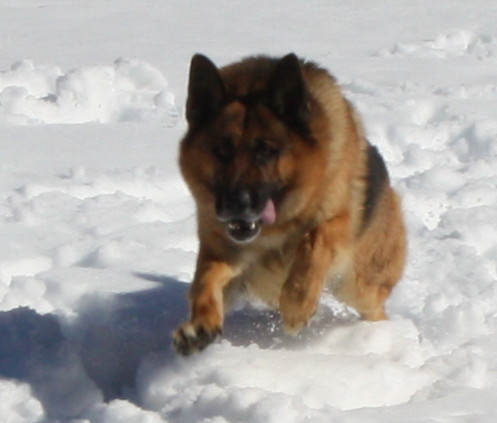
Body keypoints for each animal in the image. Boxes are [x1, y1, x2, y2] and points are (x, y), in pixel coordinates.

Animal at [173, 53, 406, 355]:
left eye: (266, 152)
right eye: (222, 151)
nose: (236, 204)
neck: (274, 232)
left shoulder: (337, 220)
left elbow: (315, 238)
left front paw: (298, 302)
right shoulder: (222, 249)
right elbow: (205, 280)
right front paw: (199, 327)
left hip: (358, 285)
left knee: (374, 305)